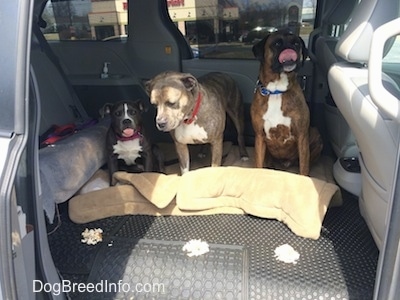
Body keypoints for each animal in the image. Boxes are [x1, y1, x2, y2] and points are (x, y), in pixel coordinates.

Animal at [252, 29, 324, 175]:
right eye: (277, 43)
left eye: (297, 43)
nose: (290, 48)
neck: (276, 91)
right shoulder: (259, 137)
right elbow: (258, 165)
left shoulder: (302, 136)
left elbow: (304, 167)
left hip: (315, 134)